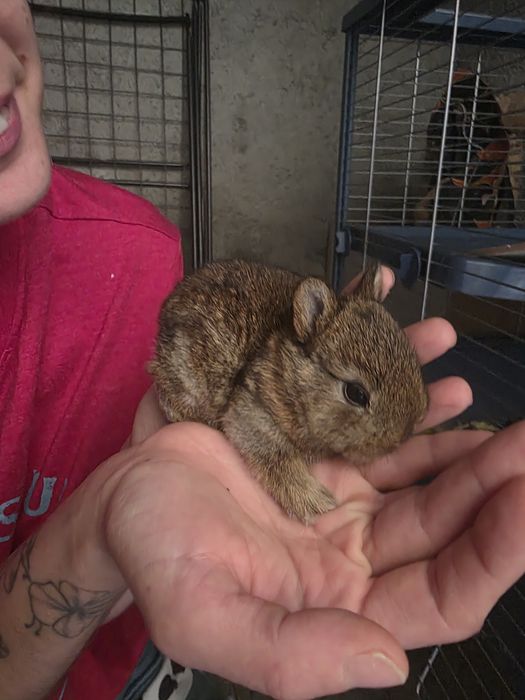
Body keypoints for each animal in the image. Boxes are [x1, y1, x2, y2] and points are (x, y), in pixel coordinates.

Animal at [149, 259, 428, 523]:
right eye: (356, 393)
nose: (401, 436)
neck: (292, 377)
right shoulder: (252, 411)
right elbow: (277, 458)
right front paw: (317, 502)